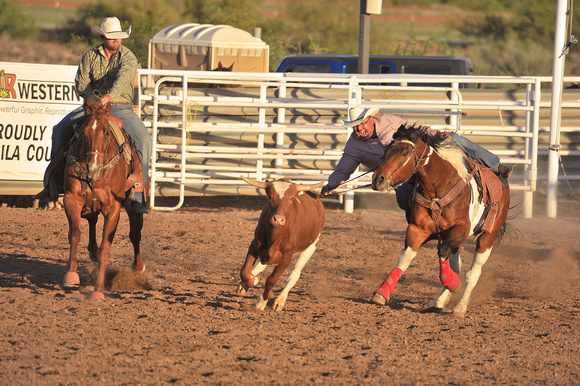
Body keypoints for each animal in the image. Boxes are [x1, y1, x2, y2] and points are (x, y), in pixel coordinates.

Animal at [61, 97, 145, 302]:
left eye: (106, 132)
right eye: (84, 132)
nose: (93, 166)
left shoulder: (112, 208)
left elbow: (106, 249)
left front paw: (98, 291)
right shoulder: (71, 199)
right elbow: (74, 235)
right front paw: (71, 275)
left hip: (134, 203)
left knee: (135, 234)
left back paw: (138, 267)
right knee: (91, 219)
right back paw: (92, 251)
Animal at [370, 125, 510, 318]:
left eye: (405, 152)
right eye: (385, 151)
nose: (378, 179)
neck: (438, 188)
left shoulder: (461, 229)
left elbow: (443, 252)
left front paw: (452, 284)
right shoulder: (418, 229)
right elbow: (404, 259)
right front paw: (382, 293)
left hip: (488, 236)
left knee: (473, 272)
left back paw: (460, 307)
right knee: (456, 265)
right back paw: (438, 301)